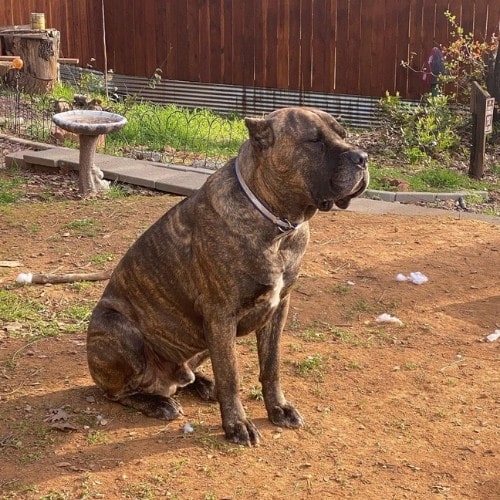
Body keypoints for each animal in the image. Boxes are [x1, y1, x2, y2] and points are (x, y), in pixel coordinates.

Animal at [87, 106, 368, 446]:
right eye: (313, 140)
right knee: (117, 393)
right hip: (116, 328)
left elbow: (270, 366)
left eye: (343, 135)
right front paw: (237, 424)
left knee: (186, 374)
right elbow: (231, 376)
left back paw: (201, 383)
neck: (278, 226)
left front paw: (278, 407)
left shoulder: (278, 308)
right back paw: (158, 403)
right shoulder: (221, 315)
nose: (362, 157)